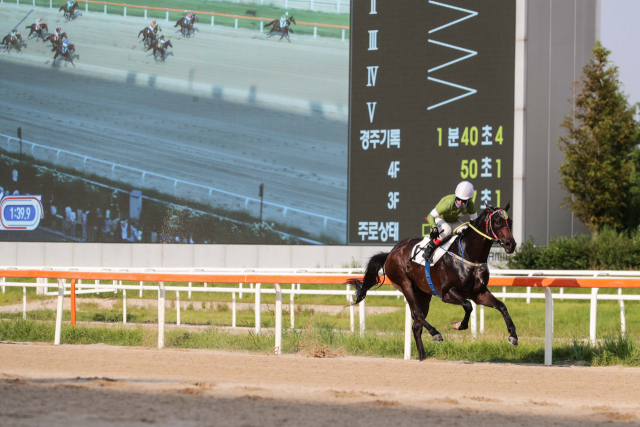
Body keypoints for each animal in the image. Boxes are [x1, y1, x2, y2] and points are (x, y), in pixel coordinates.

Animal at [348, 204, 516, 362]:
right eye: (497, 221)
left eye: (510, 221)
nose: (511, 244)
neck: (468, 255)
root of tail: (391, 252)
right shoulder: (447, 293)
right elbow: (468, 305)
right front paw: (458, 325)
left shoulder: (479, 293)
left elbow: (501, 306)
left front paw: (513, 335)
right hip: (405, 284)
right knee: (416, 314)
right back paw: (436, 333)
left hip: (423, 294)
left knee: (416, 325)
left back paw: (423, 357)